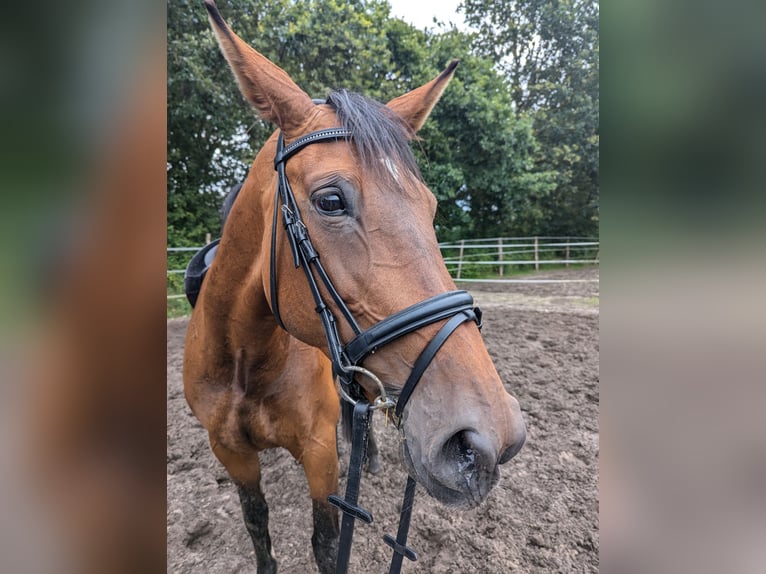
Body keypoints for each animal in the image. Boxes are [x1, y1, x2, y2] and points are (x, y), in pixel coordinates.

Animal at [186, 2, 528, 572]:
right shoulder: (231, 454)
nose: (488, 438)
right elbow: (258, 527)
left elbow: (326, 543)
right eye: (330, 201)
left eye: (432, 206)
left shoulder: (319, 452)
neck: (243, 358)